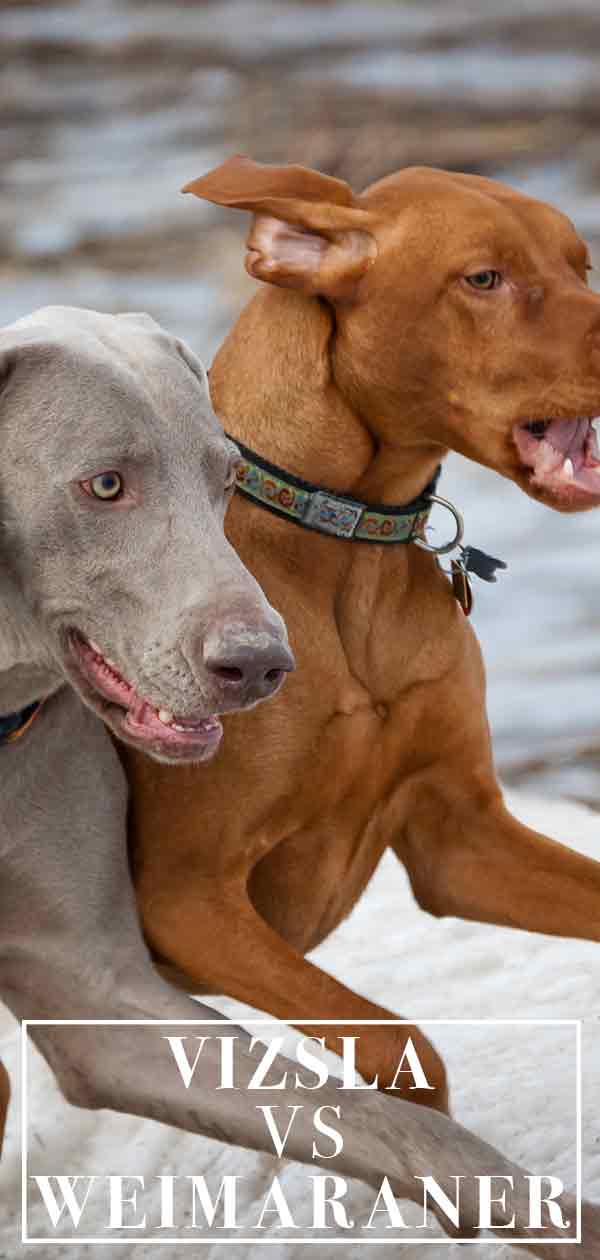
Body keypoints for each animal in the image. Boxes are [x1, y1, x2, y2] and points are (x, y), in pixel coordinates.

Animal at [122, 157, 600, 1113]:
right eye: (483, 279)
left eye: (582, 266)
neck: (347, 551)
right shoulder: (188, 898)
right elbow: (401, 1047)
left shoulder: (460, 840)